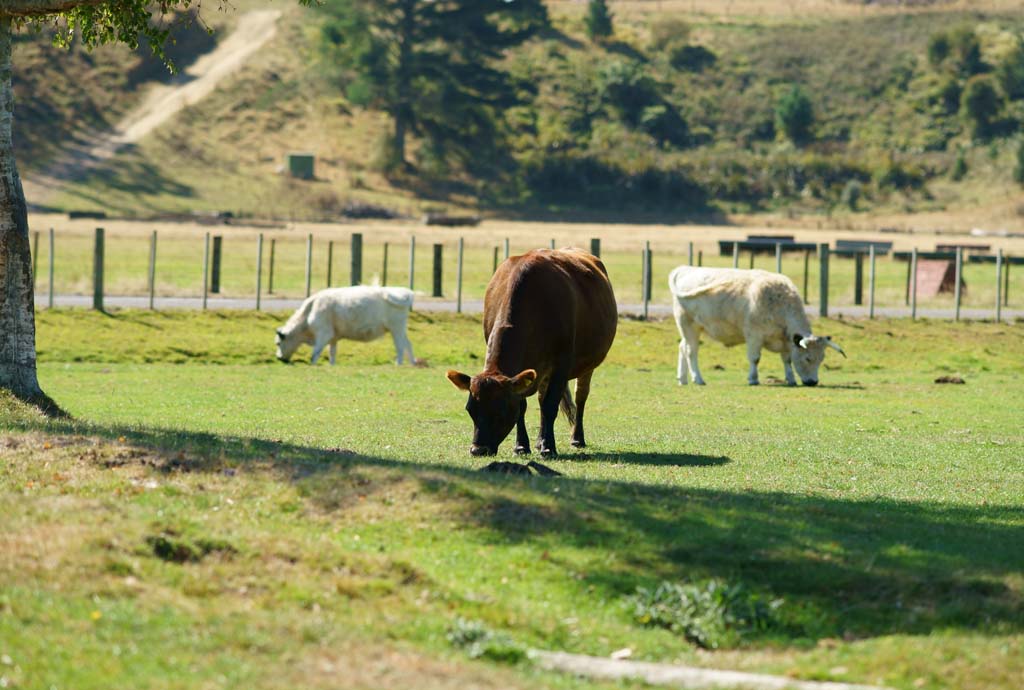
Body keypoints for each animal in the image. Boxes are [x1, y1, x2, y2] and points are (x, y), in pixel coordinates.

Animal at [276, 282, 415, 364]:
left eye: (278, 343)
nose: (279, 358)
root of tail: (404, 293)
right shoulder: (333, 338)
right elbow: (332, 353)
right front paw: (331, 365)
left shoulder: (324, 334)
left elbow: (315, 354)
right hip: (400, 330)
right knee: (408, 344)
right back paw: (413, 363)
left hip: (396, 329)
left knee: (400, 346)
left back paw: (399, 364)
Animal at [442, 247, 614, 456]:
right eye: (470, 409)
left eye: (500, 411)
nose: (478, 449)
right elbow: (524, 405)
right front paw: (522, 445)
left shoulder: (561, 363)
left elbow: (550, 404)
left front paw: (549, 447)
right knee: (541, 398)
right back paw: (540, 440)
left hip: (587, 366)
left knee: (580, 396)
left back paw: (576, 438)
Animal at [667, 266, 843, 386]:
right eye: (808, 358)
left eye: (821, 359)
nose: (813, 382)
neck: (778, 304)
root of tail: (685, 269)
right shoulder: (754, 336)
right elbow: (755, 359)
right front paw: (753, 379)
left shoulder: (786, 342)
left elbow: (787, 360)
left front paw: (791, 379)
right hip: (688, 326)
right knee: (691, 351)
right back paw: (697, 378)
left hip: (690, 330)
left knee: (682, 347)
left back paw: (682, 379)